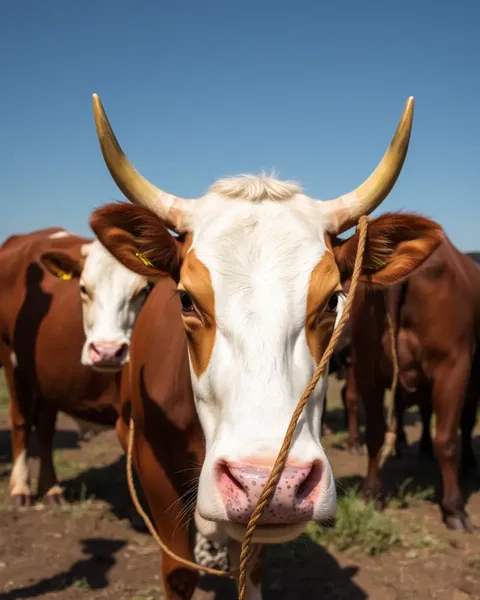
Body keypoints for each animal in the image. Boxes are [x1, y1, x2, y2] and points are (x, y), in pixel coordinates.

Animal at [0, 227, 149, 504]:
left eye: (143, 290)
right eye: (83, 288)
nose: (107, 351)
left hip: (47, 376)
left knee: (45, 426)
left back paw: (51, 488)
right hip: (12, 359)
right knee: (20, 419)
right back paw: (21, 488)